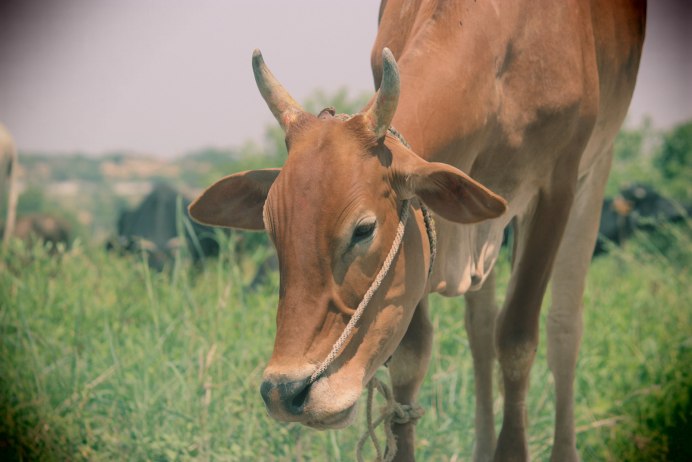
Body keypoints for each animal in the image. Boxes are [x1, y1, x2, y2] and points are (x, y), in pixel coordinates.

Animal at [188, 1, 644, 460]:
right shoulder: (422, 234)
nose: (285, 392)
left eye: (363, 229)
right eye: (272, 230)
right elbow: (412, 355)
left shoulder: (558, 185)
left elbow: (517, 340)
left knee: (563, 329)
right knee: (480, 328)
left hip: (594, 170)